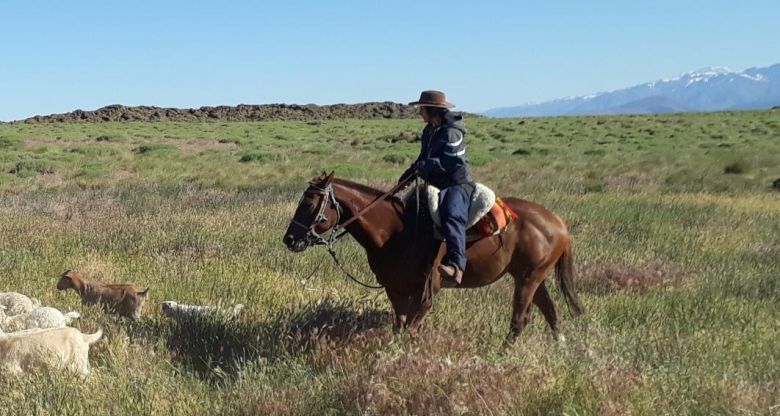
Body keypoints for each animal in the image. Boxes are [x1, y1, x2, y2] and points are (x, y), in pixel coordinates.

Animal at [284, 172, 580, 344]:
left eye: (309, 203)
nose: (289, 239)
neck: (397, 231)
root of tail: (559, 225)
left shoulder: (427, 289)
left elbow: (412, 329)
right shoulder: (394, 289)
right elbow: (400, 326)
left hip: (528, 280)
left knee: (519, 320)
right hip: (531, 278)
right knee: (551, 313)